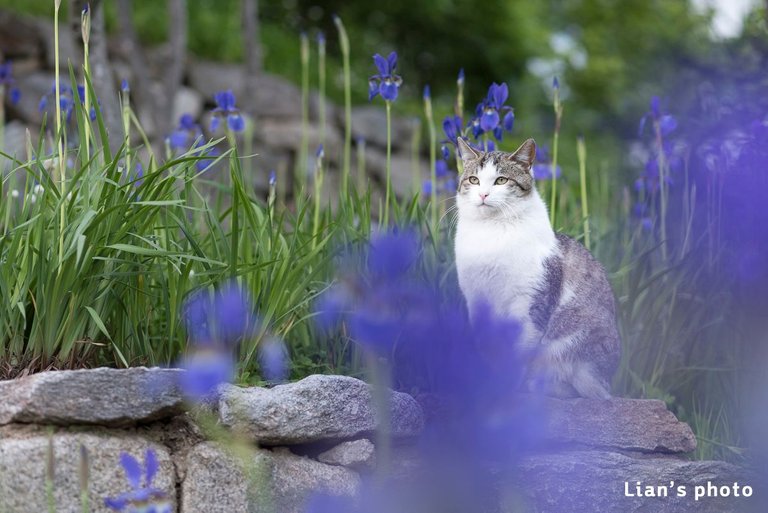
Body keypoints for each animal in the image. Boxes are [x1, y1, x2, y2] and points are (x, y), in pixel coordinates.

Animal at [452, 137, 620, 400]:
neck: (492, 231)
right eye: (474, 180)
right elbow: (486, 347)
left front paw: (506, 388)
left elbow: (517, 354)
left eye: (501, 180)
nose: (483, 194)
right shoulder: (477, 299)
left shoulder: (530, 303)